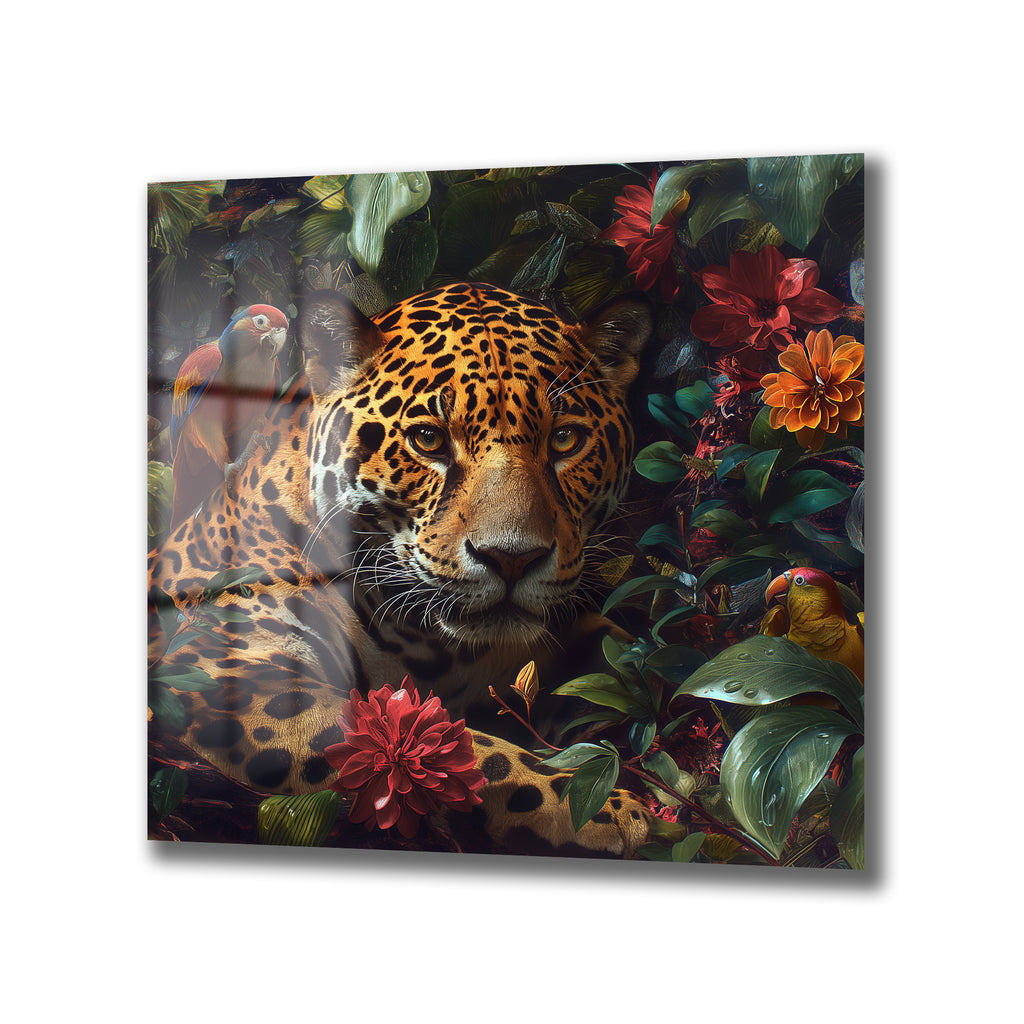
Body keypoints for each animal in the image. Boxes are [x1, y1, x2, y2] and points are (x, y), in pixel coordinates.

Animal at [148, 282, 657, 857]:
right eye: (428, 440)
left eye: (566, 440)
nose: (512, 558)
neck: (430, 643)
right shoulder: (227, 670)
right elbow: (454, 752)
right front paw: (592, 805)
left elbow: (632, 670)